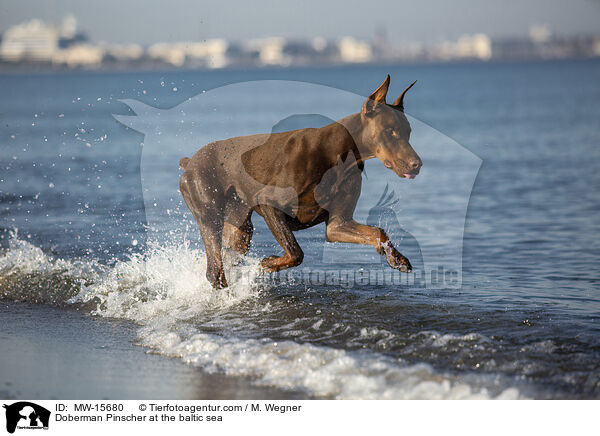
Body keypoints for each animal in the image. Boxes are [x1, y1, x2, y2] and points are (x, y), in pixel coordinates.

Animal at [179, 76, 422, 290]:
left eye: (409, 132)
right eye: (390, 131)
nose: (416, 164)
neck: (339, 154)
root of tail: (190, 161)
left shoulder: (339, 223)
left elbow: (377, 232)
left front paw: (396, 258)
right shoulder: (270, 203)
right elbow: (295, 252)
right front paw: (267, 263)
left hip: (239, 227)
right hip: (208, 210)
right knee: (215, 271)